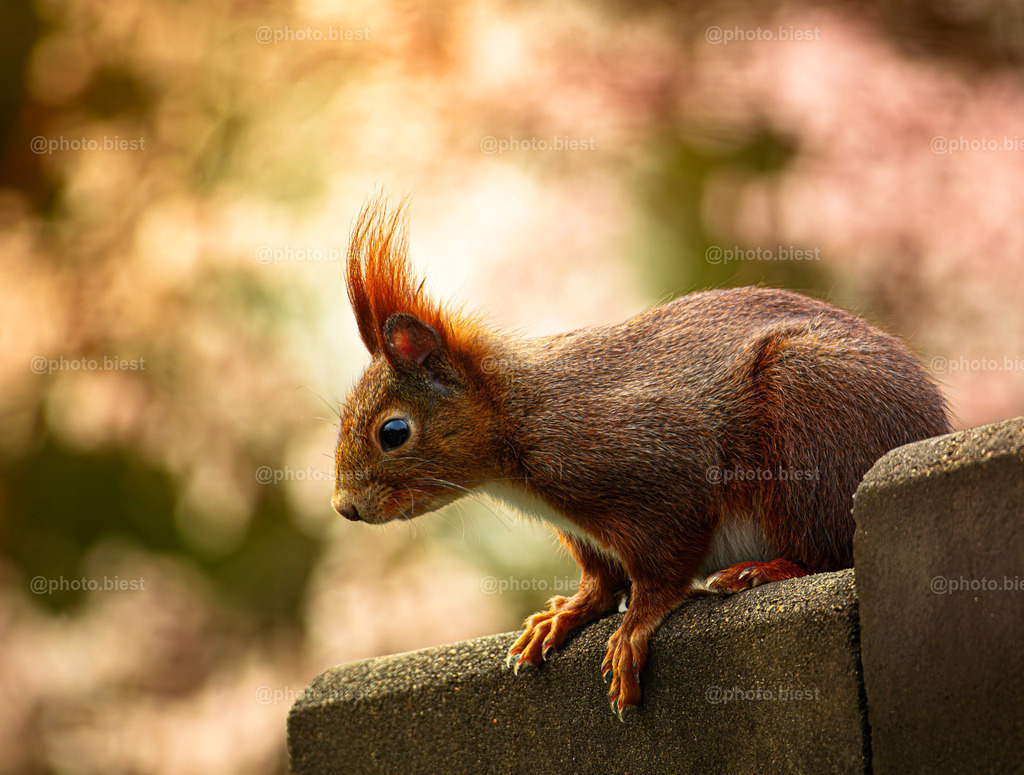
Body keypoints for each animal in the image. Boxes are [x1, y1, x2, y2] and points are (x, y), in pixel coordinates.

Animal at [331, 197, 950, 720]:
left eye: (393, 432)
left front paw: (634, 627)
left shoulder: (651, 468)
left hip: (809, 424)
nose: (344, 508)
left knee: (828, 549)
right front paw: (568, 612)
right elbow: (601, 578)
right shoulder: (586, 534)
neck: (516, 423)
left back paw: (765, 569)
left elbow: (665, 563)